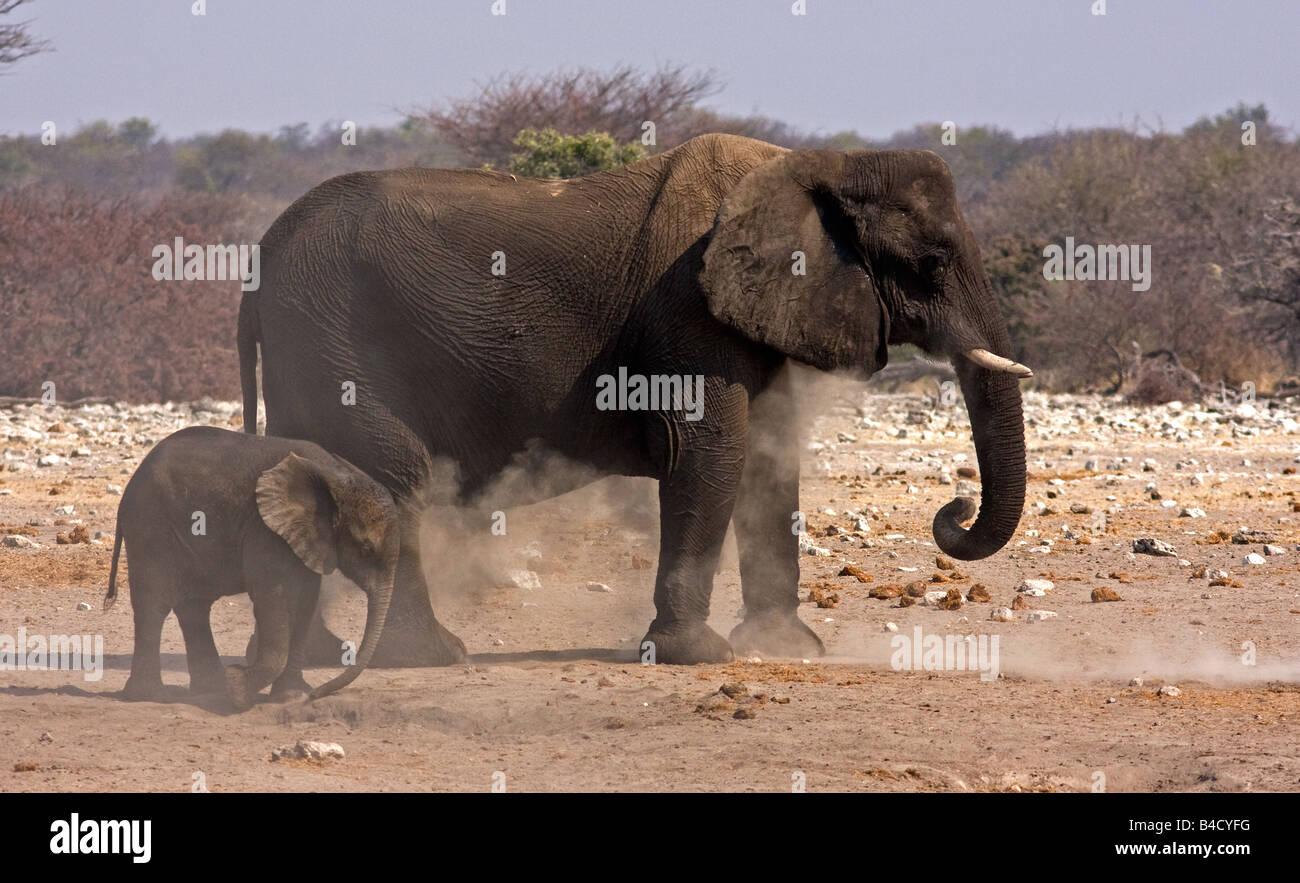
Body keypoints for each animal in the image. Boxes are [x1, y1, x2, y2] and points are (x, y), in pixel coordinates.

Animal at [104, 429, 397, 712]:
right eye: (366, 548)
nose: (318, 693)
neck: (334, 476)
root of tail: (130, 485)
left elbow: (305, 603)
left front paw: (291, 697)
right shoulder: (265, 531)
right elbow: (273, 600)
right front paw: (239, 690)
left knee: (194, 606)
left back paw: (210, 689)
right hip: (150, 526)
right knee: (155, 605)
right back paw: (152, 696)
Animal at [239, 134, 1029, 665]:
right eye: (932, 263)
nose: (954, 509)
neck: (816, 164)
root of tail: (260, 256)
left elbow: (770, 461)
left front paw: (787, 649)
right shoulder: (688, 309)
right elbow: (712, 452)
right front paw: (697, 656)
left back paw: (321, 653)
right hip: (334, 336)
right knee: (394, 475)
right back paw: (431, 655)